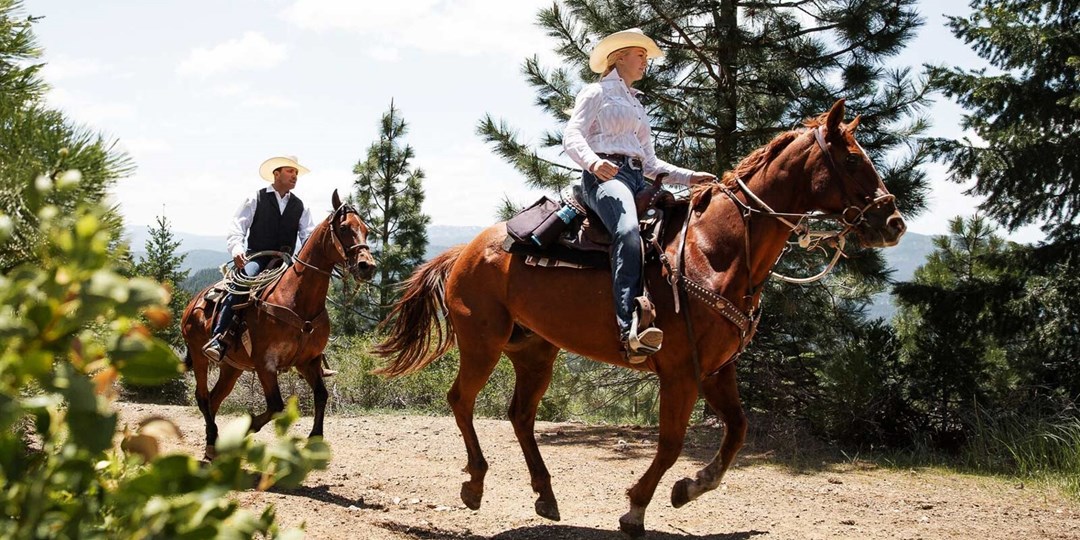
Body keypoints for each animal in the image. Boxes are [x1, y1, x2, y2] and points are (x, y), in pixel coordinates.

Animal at [181, 191, 375, 460]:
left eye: (366, 230)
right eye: (345, 227)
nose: (368, 266)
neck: (298, 300)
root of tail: (194, 302)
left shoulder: (308, 361)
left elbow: (321, 395)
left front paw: (315, 438)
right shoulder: (266, 365)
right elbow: (276, 406)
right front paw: (246, 428)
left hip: (232, 367)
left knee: (214, 398)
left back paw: (215, 443)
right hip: (200, 357)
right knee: (202, 397)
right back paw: (212, 442)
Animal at [371, 100, 902, 535]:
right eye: (852, 160)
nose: (893, 222)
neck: (717, 250)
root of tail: (465, 250)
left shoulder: (717, 369)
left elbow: (737, 430)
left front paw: (691, 487)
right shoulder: (680, 372)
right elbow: (670, 443)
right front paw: (637, 507)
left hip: (535, 351)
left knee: (520, 415)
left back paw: (545, 494)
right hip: (483, 343)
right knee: (461, 400)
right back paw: (476, 485)